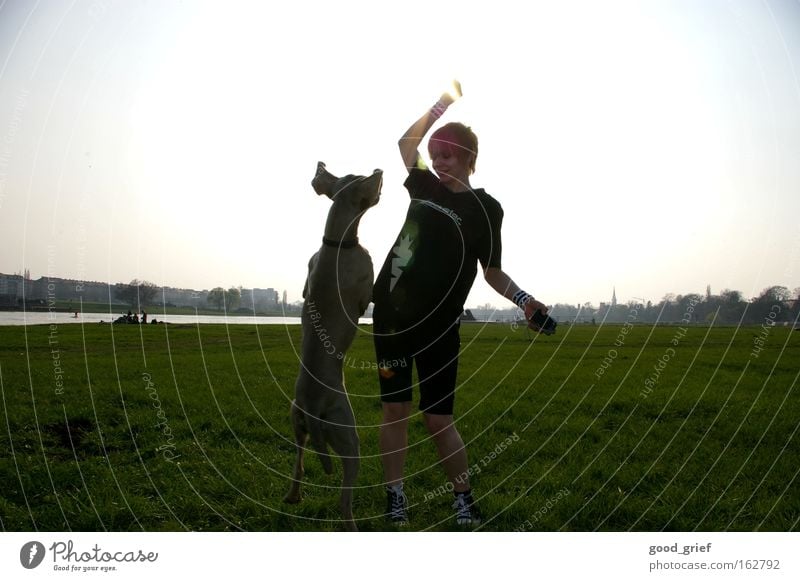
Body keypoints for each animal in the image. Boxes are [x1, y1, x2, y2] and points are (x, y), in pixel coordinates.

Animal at [284, 160, 384, 532]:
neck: (336, 242)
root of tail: (313, 410)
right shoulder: (366, 286)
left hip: (296, 422)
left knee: (298, 459)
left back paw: (294, 495)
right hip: (349, 438)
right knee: (344, 499)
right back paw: (352, 522)